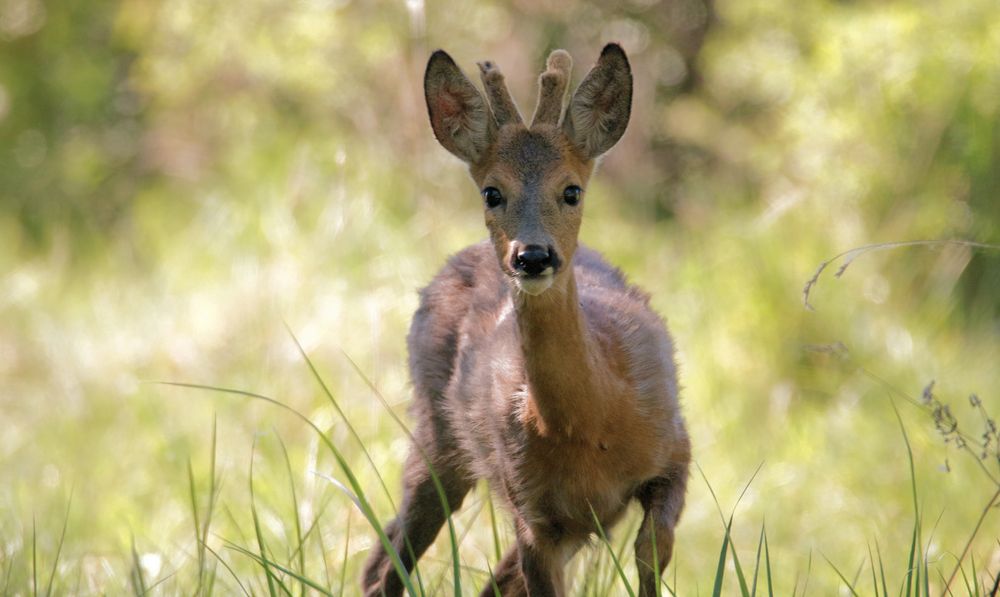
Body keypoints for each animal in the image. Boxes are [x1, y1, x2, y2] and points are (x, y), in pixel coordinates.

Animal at [364, 43, 692, 596]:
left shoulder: (676, 452)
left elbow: (652, 552)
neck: (593, 422)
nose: (533, 256)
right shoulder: (534, 513)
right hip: (438, 434)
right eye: (492, 192)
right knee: (388, 564)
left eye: (572, 190)